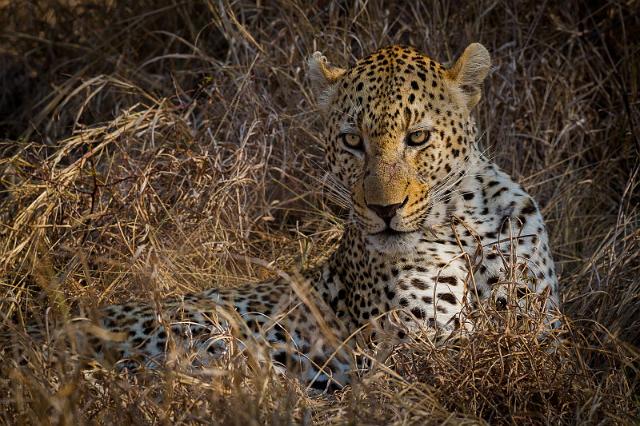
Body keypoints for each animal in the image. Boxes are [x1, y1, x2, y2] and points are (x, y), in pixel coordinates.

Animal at [8, 43, 560, 392]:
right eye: (352, 141)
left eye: (418, 138)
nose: (384, 210)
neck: (460, 222)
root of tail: (33, 329)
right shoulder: (414, 349)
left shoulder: (544, 331)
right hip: (203, 326)